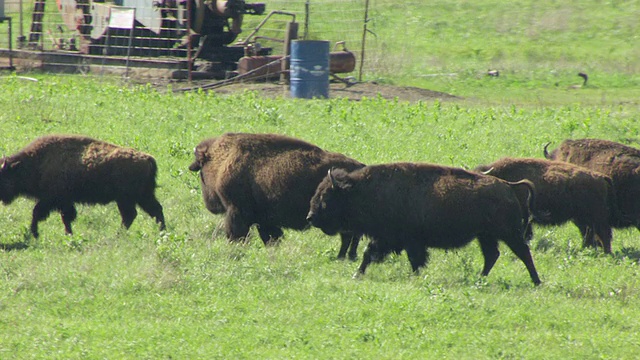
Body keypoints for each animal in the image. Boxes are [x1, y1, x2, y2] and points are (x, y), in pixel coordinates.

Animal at [0, 134, 168, 238]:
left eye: (4, 176)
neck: (37, 162)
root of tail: (148, 158)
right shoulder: (62, 202)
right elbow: (65, 217)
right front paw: (68, 234)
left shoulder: (52, 200)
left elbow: (38, 213)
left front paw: (35, 234)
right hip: (142, 196)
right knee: (154, 211)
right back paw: (161, 233)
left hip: (127, 199)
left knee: (131, 215)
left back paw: (118, 235)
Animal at [188, 132, 364, 258]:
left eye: (201, 172)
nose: (209, 205)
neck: (223, 158)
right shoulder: (264, 220)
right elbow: (271, 237)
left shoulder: (237, 212)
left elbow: (237, 234)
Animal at [308, 162, 544, 286]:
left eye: (327, 196)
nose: (310, 216)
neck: (360, 190)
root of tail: (507, 185)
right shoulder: (388, 239)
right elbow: (370, 254)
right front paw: (357, 274)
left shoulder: (405, 240)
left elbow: (411, 259)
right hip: (485, 235)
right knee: (492, 255)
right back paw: (479, 278)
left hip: (508, 233)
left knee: (523, 252)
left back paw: (536, 282)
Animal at [476, 158, 616, 253]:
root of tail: (601, 177)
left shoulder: (524, 219)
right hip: (583, 218)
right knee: (592, 234)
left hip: (595, 217)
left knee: (604, 233)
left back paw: (606, 253)